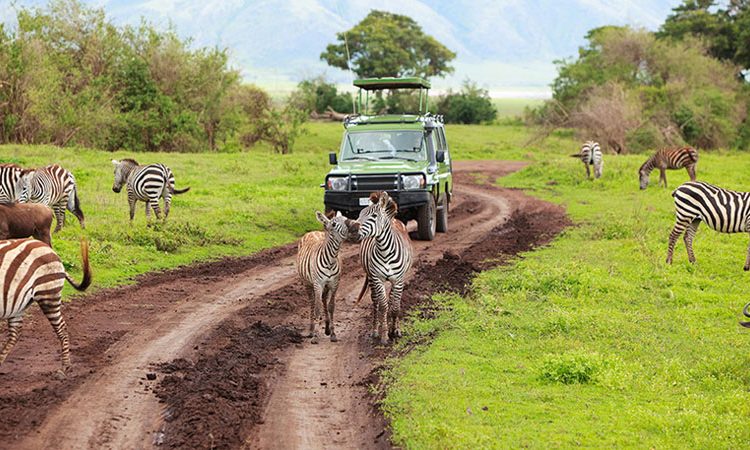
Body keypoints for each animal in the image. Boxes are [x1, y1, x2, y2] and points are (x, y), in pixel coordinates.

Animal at [0, 236, 92, 372]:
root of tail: (49, 249)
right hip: (17, 305)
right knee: (15, 333)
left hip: (48, 294)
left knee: (62, 328)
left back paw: (65, 367)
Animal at [296, 211, 358, 344]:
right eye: (334, 224)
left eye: (346, 218)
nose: (355, 227)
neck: (331, 259)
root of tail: (312, 231)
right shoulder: (318, 284)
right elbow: (317, 308)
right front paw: (315, 336)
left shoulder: (334, 284)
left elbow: (331, 307)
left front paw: (333, 333)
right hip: (307, 283)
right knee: (312, 303)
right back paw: (311, 330)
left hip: (325, 286)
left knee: (324, 300)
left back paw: (327, 328)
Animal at [356, 191, 414, 344]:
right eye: (360, 214)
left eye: (374, 216)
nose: (353, 229)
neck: (385, 251)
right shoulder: (378, 279)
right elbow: (383, 306)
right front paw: (384, 335)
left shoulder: (399, 280)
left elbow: (395, 306)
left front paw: (395, 331)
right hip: (371, 277)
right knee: (376, 301)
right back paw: (375, 330)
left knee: (394, 300)